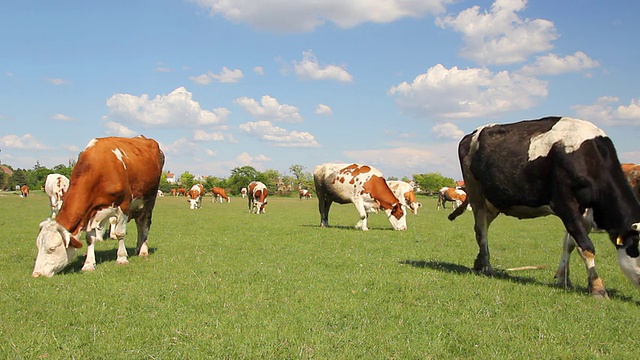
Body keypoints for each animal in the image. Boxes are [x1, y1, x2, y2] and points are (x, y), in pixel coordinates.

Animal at [32, 136, 164, 278]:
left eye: (52, 248)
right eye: (38, 246)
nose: (36, 274)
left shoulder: (124, 205)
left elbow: (120, 233)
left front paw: (122, 258)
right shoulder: (91, 211)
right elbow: (90, 238)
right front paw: (88, 264)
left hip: (149, 200)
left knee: (144, 225)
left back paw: (143, 250)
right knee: (139, 224)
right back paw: (138, 247)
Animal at [448, 116, 640, 298]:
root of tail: (471, 134)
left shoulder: (583, 214)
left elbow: (569, 244)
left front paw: (563, 278)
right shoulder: (565, 205)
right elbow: (586, 247)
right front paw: (598, 288)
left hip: (493, 202)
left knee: (482, 228)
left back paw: (479, 263)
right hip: (476, 194)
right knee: (481, 231)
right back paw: (487, 267)